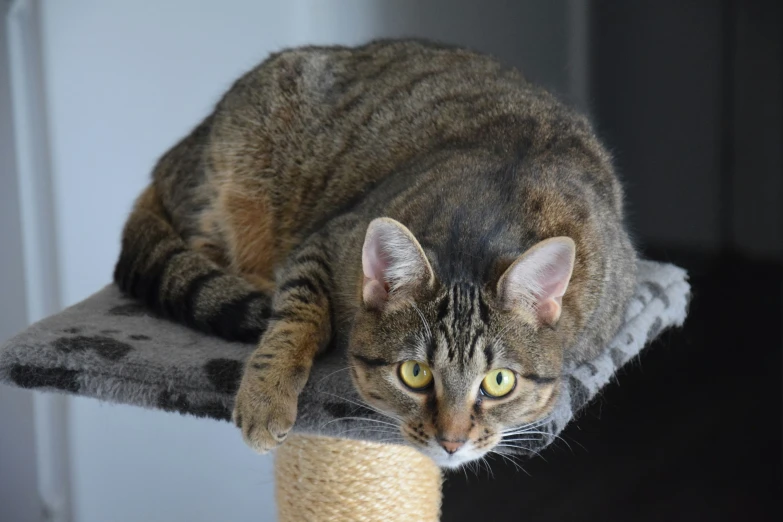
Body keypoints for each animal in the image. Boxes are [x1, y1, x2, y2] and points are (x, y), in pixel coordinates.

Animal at [113, 38, 636, 466]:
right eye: (415, 374)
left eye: (498, 383)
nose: (451, 442)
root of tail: (180, 149)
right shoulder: (326, 241)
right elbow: (296, 317)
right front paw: (266, 396)